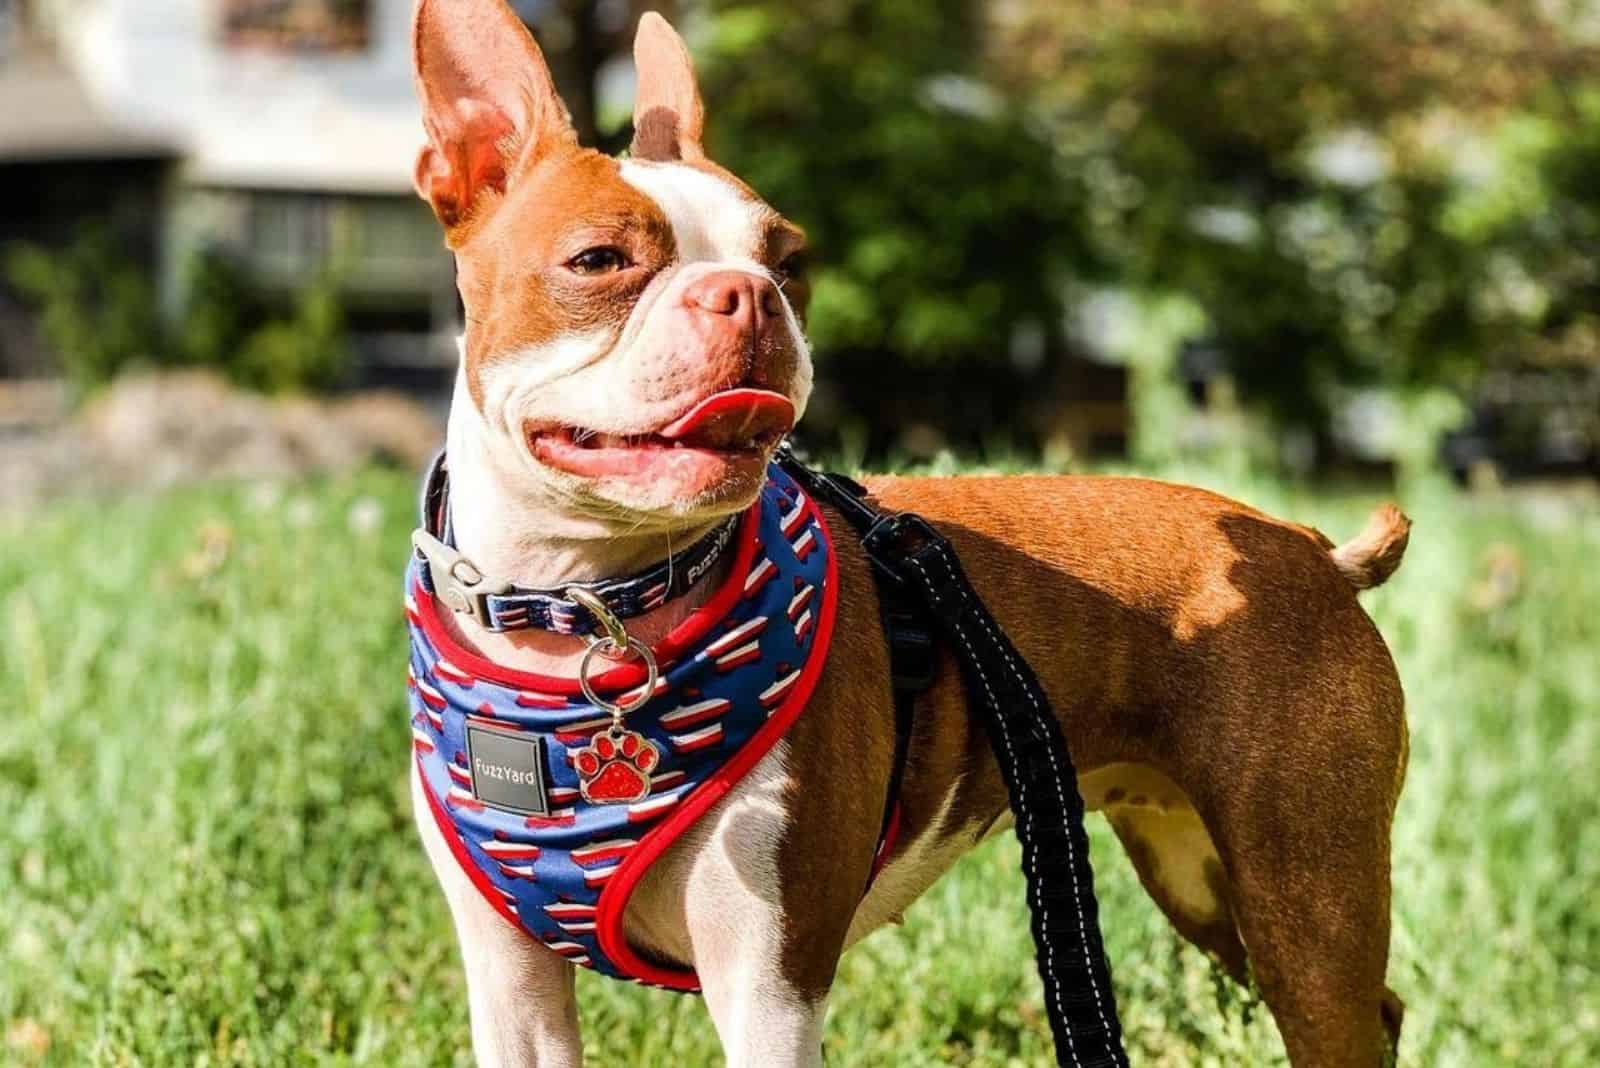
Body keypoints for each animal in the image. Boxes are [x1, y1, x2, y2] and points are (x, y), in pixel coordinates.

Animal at [403, 4, 1414, 1061]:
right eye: (598, 262)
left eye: (788, 263)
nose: (748, 293)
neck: (583, 608)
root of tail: (1311, 548)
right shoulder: (514, 990)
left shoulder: (770, 982)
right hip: (1200, 875)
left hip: (1300, 895)